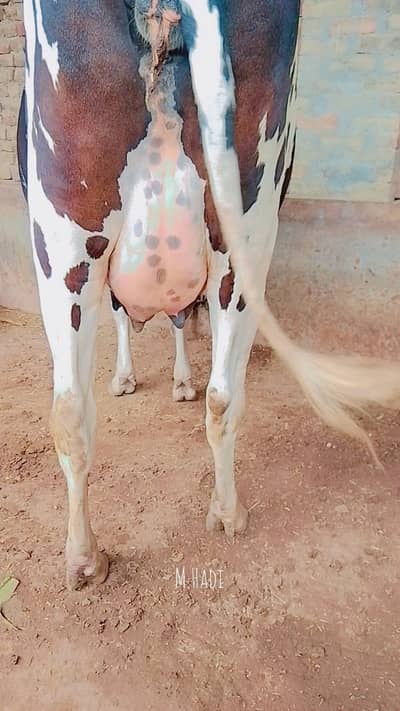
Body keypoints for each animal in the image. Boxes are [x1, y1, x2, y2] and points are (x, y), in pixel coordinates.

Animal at [21, 0, 400, 590]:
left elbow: (145, 319)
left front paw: (141, 378)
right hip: (233, 237)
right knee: (210, 396)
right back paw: (212, 516)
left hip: (65, 240)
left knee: (81, 406)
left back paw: (95, 554)